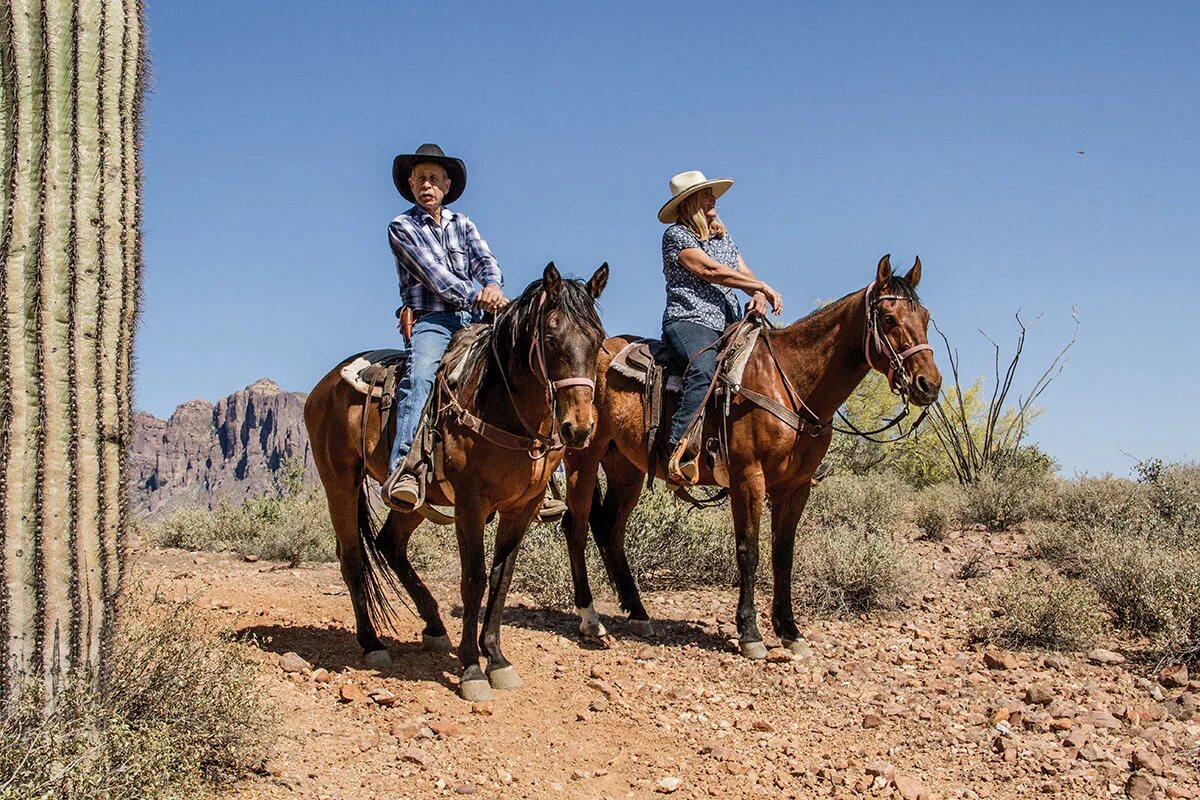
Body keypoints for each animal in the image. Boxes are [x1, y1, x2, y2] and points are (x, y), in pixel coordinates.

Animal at [307, 263, 609, 700]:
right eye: (551, 337)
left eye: (598, 340)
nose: (579, 428)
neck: (500, 406)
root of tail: (323, 386)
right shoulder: (470, 504)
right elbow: (474, 580)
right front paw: (471, 668)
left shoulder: (523, 507)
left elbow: (501, 579)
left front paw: (496, 659)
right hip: (340, 482)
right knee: (352, 557)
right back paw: (372, 643)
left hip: (414, 500)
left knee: (390, 544)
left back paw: (434, 626)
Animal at [556, 255, 940, 657]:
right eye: (889, 319)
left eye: (926, 318)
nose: (929, 384)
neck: (790, 383)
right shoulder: (748, 478)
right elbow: (749, 550)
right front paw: (750, 632)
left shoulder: (796, 487)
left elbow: (783, 555)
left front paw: (790, 631)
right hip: (583, 456)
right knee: (576, 525)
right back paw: (590, 619)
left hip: (625, 468)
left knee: (610, 528)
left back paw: (638, 612)